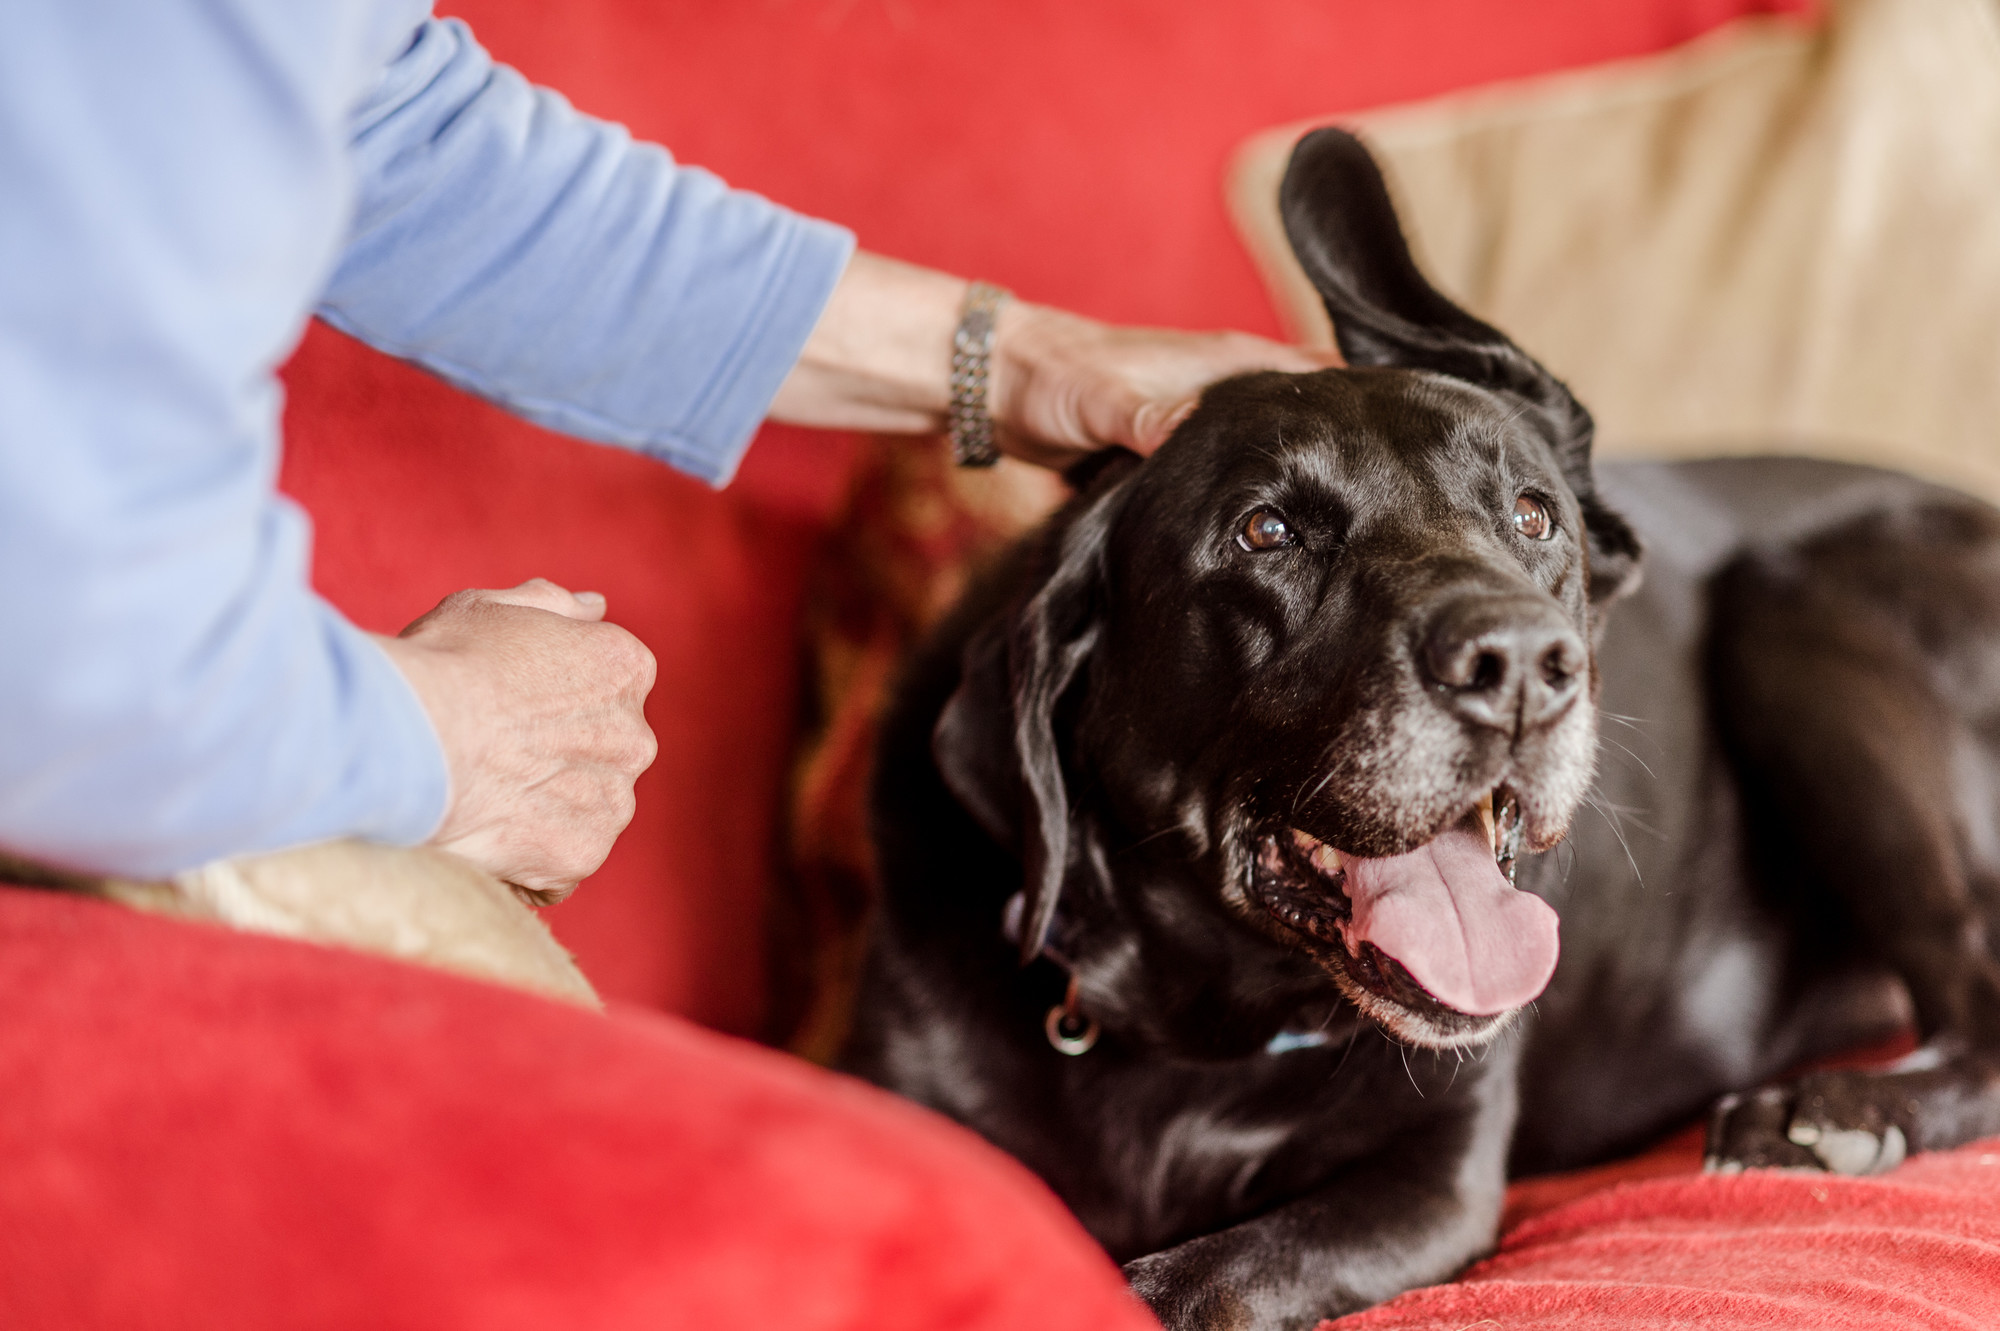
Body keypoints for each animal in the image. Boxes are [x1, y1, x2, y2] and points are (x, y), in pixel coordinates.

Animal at [836, 126, 2000, 1327]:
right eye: (1265, 531)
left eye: (1534, 514)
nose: (1521, 666)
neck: (1197, 1027)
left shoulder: (1435, 1173)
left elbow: (1200, 1277)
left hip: (1796, 610)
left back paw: (1840, 1109)